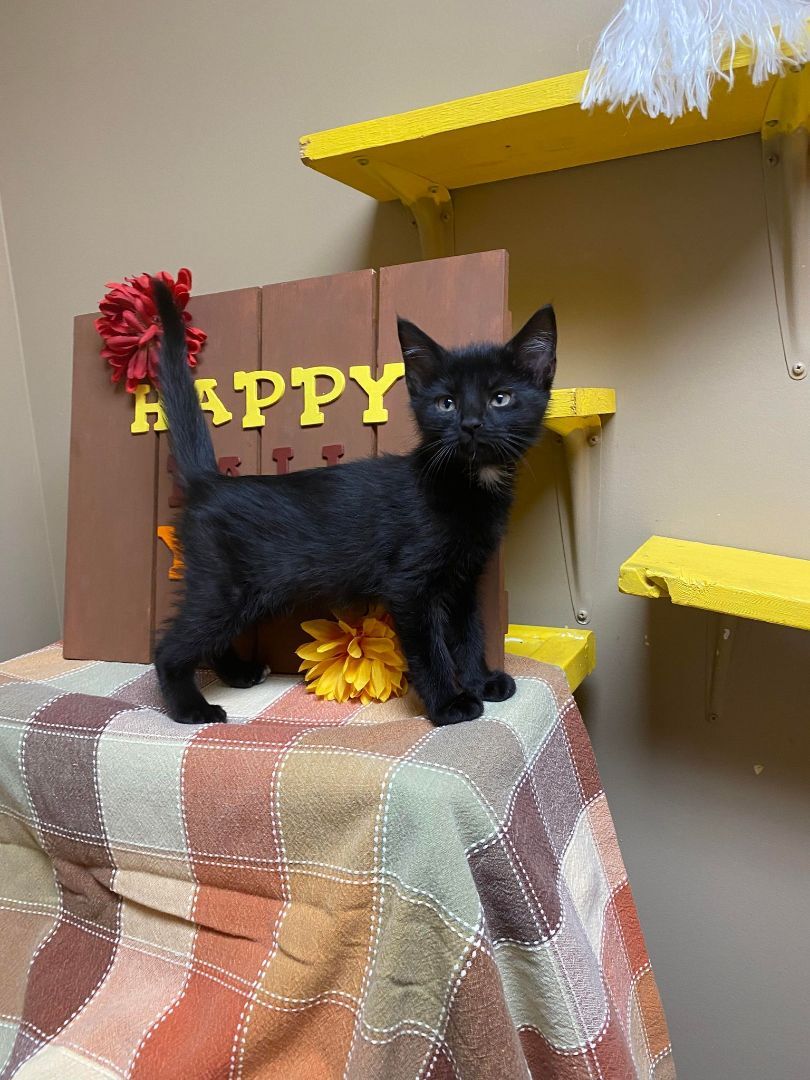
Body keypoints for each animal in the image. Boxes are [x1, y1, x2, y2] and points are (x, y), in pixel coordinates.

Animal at [153, 282, 557, 730]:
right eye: (446, 403)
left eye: (500, 398)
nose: (470, 424)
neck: (468, 484)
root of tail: (210, 482)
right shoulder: (409, 584)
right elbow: (430, 647)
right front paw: (449, 703)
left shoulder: (463, 578)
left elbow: (469, 634)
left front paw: (481, 681)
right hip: (223, 586)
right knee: (170, 646)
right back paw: (191, 706)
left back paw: (239, 672)